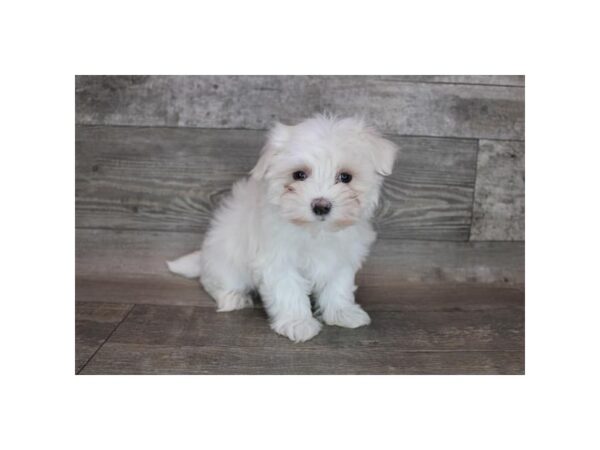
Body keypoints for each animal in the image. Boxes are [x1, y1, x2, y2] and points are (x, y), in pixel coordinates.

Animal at [168, 113, 398, 342]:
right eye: (299, 175)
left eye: (345, 177)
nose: (321, 206)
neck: (316, 232)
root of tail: (204, 258)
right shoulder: (277, 260)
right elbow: (289, 290)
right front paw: (298, 323)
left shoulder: (341, 257)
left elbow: (338, 285)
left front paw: (343, 313)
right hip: (225, 258)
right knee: (215, 282)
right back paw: (234, 297)